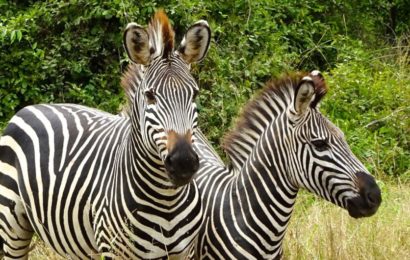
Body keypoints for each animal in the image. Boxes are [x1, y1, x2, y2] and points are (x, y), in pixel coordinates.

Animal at [0, 9, 211, 258]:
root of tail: (29, 107)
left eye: (194, 94)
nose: (183, 162)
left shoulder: (185, 251)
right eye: (150, 96)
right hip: (12, 222)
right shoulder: (114, 250)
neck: (167, 200)